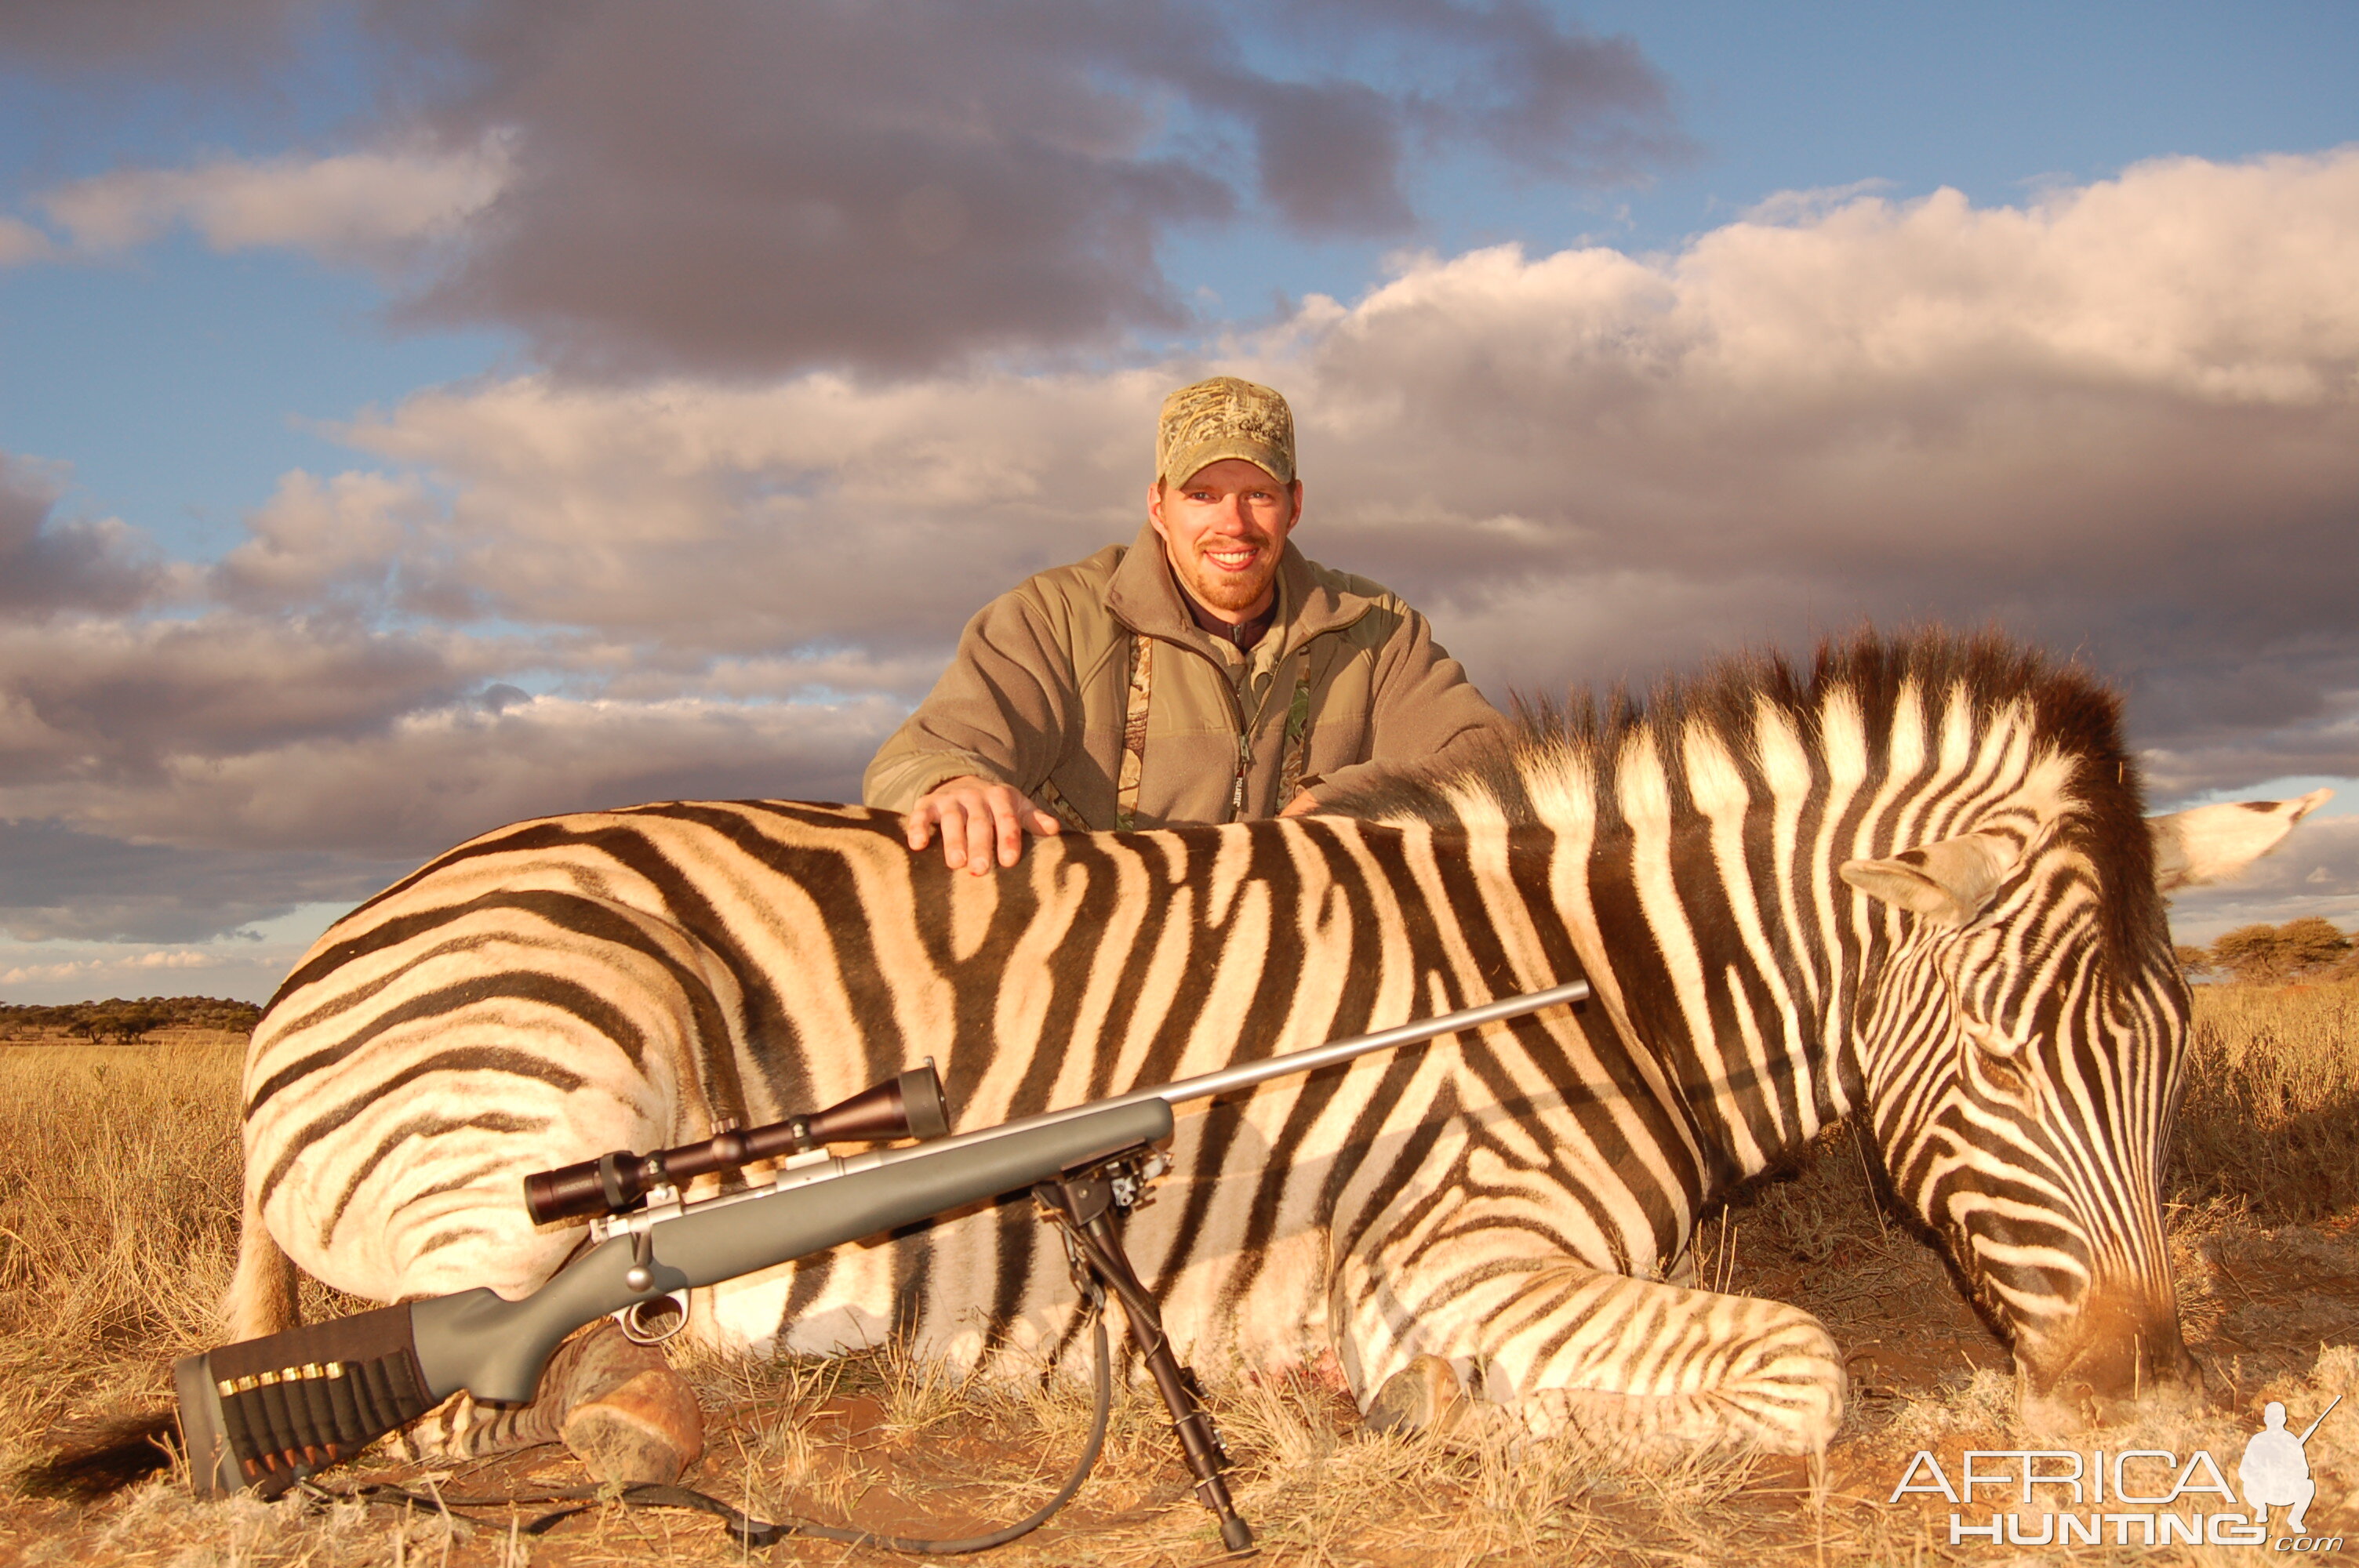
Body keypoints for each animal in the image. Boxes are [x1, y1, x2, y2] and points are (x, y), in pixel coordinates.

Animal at [230, 627, 2330, 1480]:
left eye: (2168, 1050)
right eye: (1999, 1057)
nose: (2137, 1379)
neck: (1585, 980)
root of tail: (325, 957)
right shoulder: (1460, 1254)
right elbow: (1803, 1366)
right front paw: (1425, 1407)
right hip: (557, 1100)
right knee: (487, 1376)